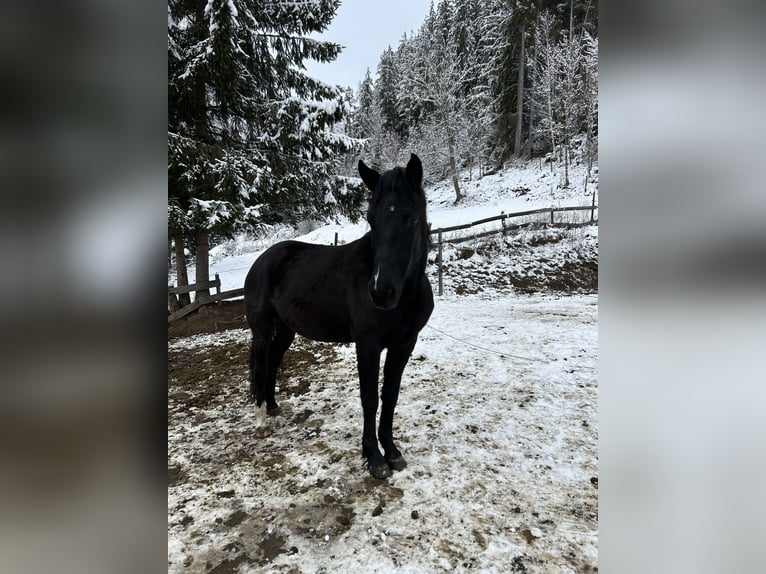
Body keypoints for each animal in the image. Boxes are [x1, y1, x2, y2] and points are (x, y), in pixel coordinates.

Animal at [243, 154, 434, 479]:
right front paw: (374, 457)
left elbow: (390, 395)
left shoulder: (404, 344)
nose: (381, 292)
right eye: (371, 219)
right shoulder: (368, 345)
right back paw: (260, 423)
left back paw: (273, 406)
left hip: (286, 331)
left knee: (274, 363)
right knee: (260, 367)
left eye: (411, 218)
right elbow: (369, 398)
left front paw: (392, 452)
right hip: (262, 329)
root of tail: (262, 260)